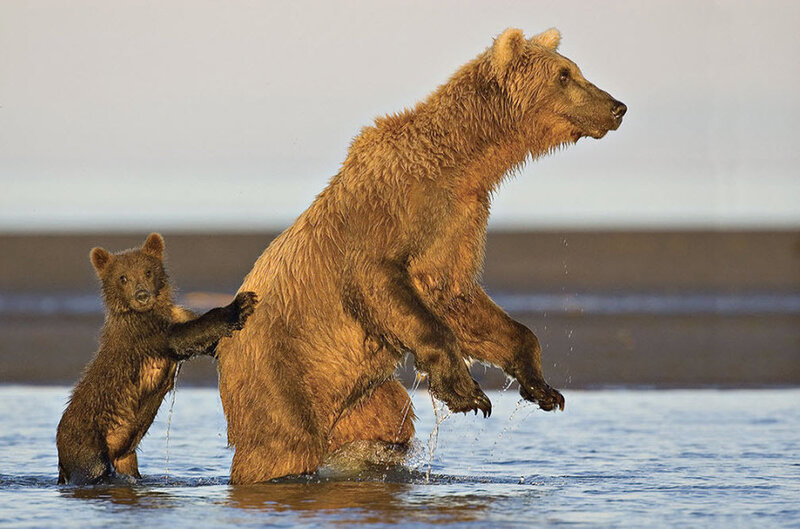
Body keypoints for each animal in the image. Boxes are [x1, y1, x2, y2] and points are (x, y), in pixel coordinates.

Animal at [56, 233, 258, 485]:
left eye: (148, 271)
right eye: (123, 277)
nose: (142, 296)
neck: (152, 310)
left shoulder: (175, 314)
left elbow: (202, 340)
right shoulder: (144, 333)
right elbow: (182, 337)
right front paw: (240, 304)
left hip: (125, 455)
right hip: (87, 442)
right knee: (92, 469)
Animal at [216, 27, 626, 484]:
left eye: (574, 70)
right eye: (564, 75)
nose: (617, 107)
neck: (463, 165)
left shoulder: (458, 223)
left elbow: (459, 299)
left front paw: (542, 387)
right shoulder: (388, 210)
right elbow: (381, 282)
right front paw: (467, 393)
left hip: (362, 396)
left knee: (389, 419)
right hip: (279, 372)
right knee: (282, 443)